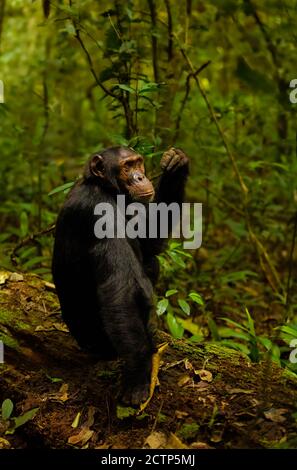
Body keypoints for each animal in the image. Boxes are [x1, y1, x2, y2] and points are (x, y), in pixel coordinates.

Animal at [51, 147, 187, 404]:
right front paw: (138, 377)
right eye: (126, 167)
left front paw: (176, 165)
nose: (140, 177)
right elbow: (121, 290)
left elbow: (148, 243)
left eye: (138, 163)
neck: (107, 190)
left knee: (151, 262)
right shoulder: (99, 215)